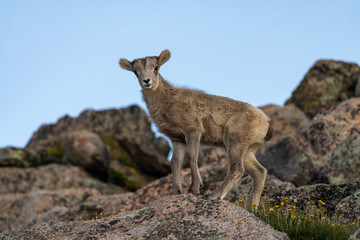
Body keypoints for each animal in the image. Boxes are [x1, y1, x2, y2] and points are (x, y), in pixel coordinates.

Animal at [119, 49, 272, 206]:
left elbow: (192, 156)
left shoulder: (193, 130)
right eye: (135, 71)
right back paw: (252, 207)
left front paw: (195, 188)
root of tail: (265, 121)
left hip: (235, 143)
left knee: (237, 169)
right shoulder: (176, 139)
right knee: (260, 172)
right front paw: (175, 191)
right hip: (247, 150)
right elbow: (175, 162)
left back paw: (213, 196)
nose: (147, 81)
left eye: (156, 67)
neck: (167, 103)